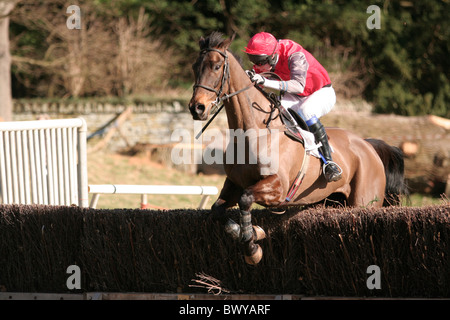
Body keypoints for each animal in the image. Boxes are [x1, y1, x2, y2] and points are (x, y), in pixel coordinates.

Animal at [188, 33, 406, 264]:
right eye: (195, 66)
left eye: (216, 66)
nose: (197, 108)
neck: (254, 132)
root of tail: (368, 145)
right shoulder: (234, 183)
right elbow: (217, 210)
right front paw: (251, 232)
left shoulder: (278, 187)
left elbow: (245, 198)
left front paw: (252, 248)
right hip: (332, 200)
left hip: (364, 202)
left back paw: (332, 169)